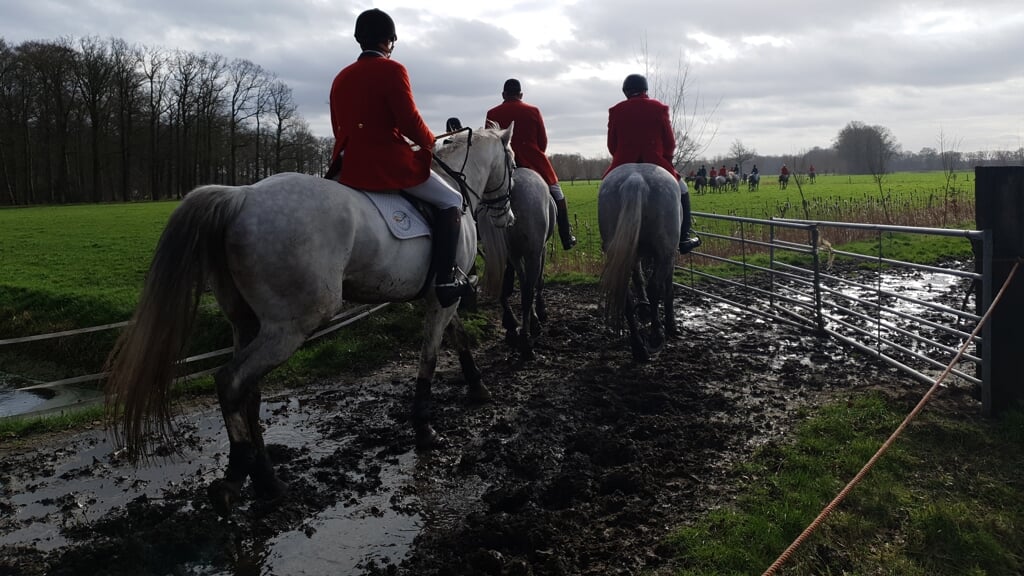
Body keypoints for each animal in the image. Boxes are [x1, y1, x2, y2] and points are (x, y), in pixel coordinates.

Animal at [104, 124, 516, 510]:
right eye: (512, 162)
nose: (508, 216)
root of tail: (242, 196)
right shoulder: (442, 298)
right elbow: (429, 357)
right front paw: (425, 430)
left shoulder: (439, 296)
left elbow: (458, 337)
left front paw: (477, 387)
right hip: (291, 326)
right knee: (231, 381)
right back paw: (236, 478)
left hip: (246, 323)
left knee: (249, 391)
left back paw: (267, 481)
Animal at [477, 165, 552, 358]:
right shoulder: (540, 250)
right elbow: (537, 283)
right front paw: (540, 312)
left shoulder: (513, 255)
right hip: (532, 254)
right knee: (527, 292)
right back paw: (526, 341)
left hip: (510, 254)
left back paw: (515, 328)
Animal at [598, 162, 679, 358]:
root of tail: (636, 179)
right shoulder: (670, 256)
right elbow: (668, 290)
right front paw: (671, 325)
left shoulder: (633, 255)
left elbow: (638, 279)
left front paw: (643, 310)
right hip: (665, 253)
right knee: (654, 288)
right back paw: (657, 336)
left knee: (625, 293)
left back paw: (638, 346)